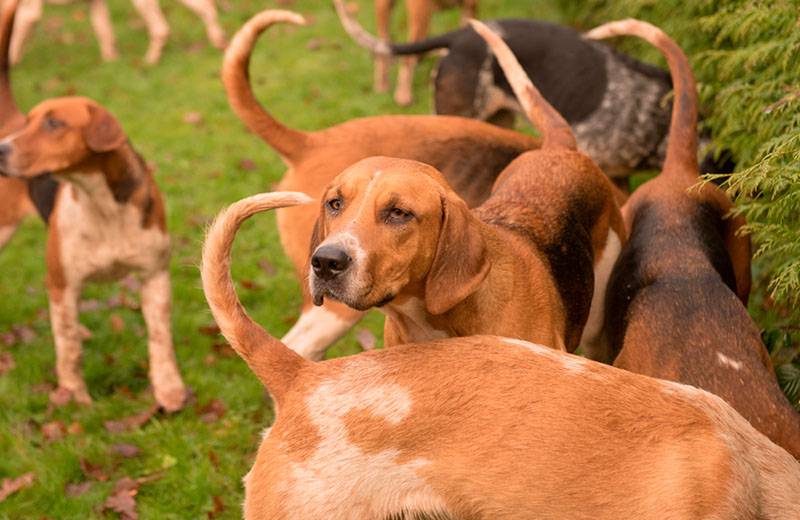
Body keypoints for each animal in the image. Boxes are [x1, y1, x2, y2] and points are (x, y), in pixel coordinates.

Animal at [306, 19, 624, 358]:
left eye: (399, 213)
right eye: (335, 203)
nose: (326, 261)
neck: (431, 326)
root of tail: (558, 147)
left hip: (598, 329)